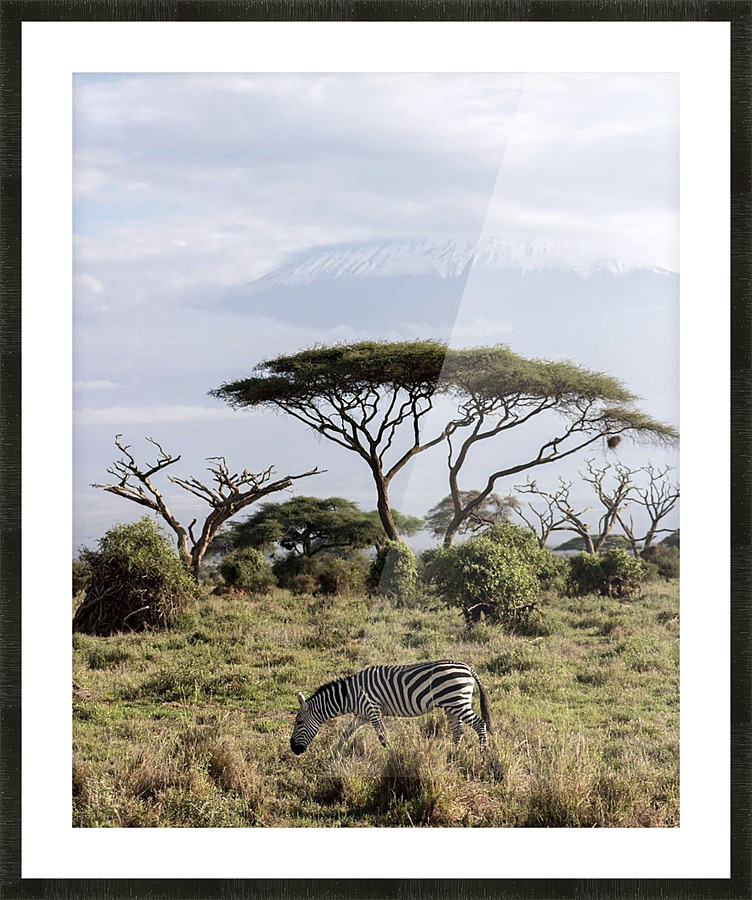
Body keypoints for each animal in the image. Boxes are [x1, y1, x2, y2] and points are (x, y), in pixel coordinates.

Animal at [289, 660, 491, 755]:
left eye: (299, 722)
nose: (293, 749)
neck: (351, 695)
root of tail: (468, 667)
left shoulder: (372, 710)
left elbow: (382, 736)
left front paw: (391, 754)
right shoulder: (361, 715)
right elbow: (346, 733)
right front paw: (333, 754)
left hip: (457, 702)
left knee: (479, 724)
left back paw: (483, 755)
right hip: (452, 704)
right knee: (458, 730)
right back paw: (452, 754)